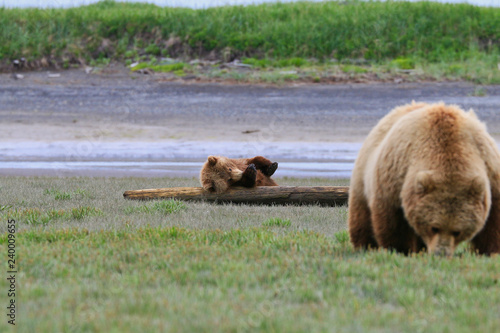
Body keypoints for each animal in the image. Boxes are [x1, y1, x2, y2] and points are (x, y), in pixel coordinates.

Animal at [348, 100, 500, 254]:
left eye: (457, 231)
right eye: (434, 228)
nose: (441, 253)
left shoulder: (490, 170)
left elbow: (493, 221)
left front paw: (490, 251)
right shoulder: (397, 174)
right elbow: (394, 219)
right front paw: (400, 249)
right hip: (364, 174)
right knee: (362, 215)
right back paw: (365, 245)